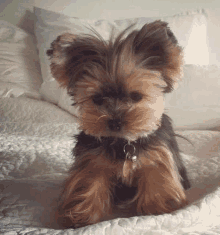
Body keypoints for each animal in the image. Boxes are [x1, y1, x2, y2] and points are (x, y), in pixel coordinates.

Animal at [46, 20, 191, 228]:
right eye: (97, 99)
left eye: (136, 96)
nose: (115, 121)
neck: (123, 142)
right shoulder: (93, 160)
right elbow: (90, 180)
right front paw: (82, 214)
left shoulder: (156, 155)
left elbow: (156, 174)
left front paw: (158, 207)